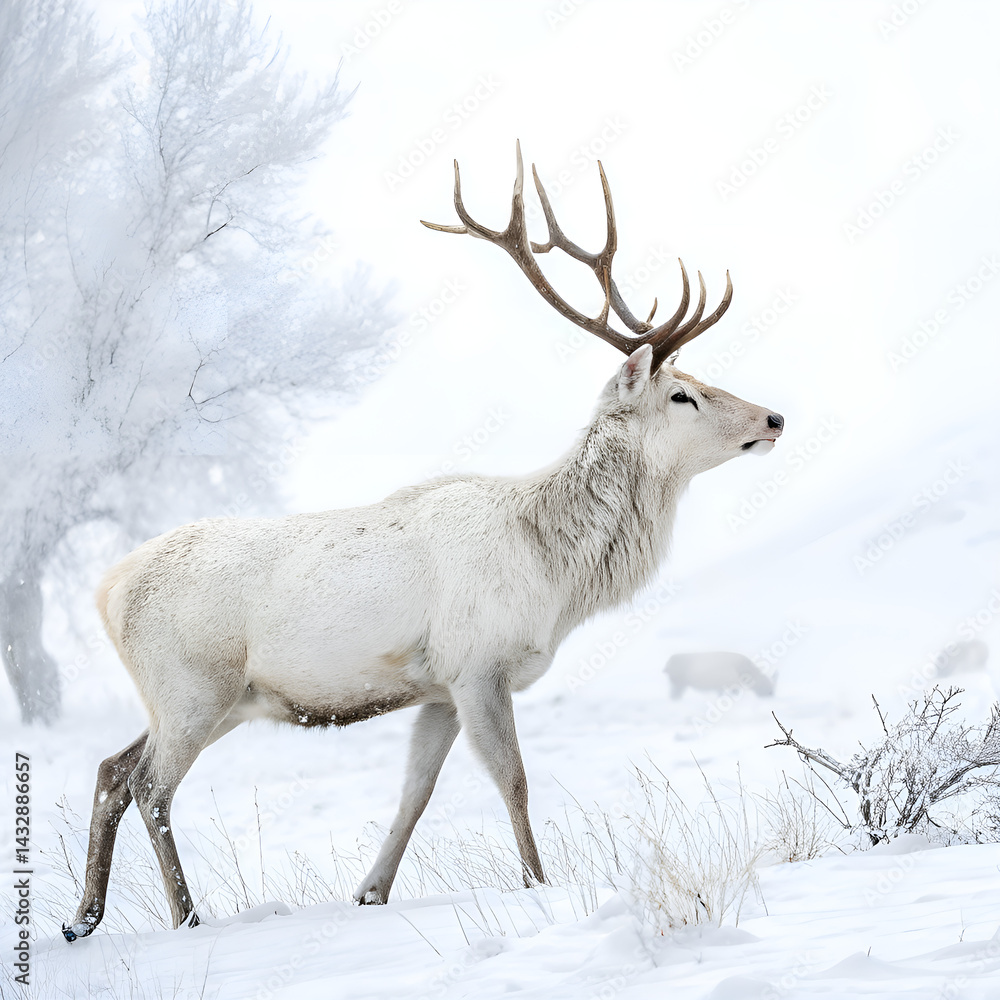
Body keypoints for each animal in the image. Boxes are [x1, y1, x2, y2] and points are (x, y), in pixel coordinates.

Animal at [63, 143, 784, 941]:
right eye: (681, 394)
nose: (775, 417)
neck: (556, 578)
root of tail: (106, 590)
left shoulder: (437, 686)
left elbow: (416, 790)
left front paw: (370, 891)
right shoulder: (478, 664)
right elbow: (513, 779)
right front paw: (539, 884)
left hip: (209, 699)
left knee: (111, 769)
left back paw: (83, 917)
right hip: (193, 683)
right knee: (150, 785)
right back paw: (185, 916)